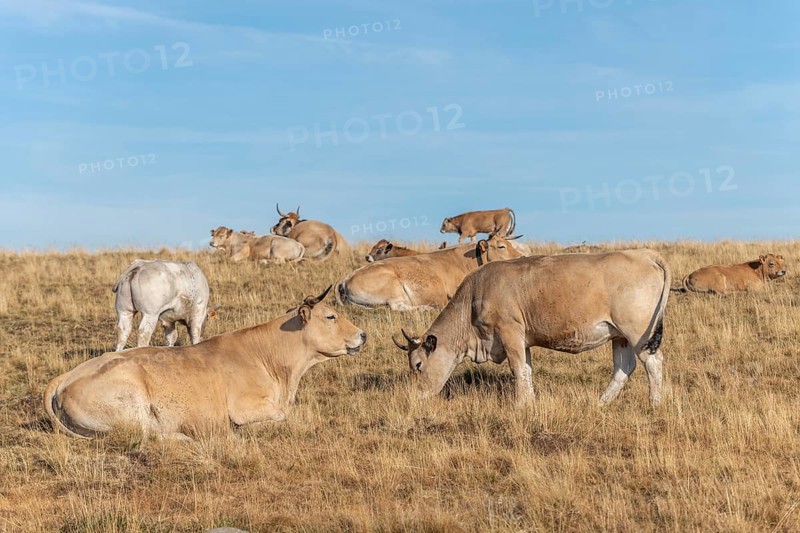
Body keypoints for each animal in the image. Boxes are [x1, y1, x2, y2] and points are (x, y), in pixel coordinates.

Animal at [44, 286, 366, 439]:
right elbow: (281, 416)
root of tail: (66, 377)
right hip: (132, 404)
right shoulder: (245, 407)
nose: (362, 334)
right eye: (331, 316)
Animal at [336, 233, 524, 311]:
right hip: (392, 287)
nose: (522, 256)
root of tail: (345, 279)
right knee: (397, 307)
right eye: (501, 246)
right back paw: (427, 308)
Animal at [394, 250, 671, 407]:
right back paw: (600, 403)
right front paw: (530, 402)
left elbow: (517, 369)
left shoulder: (509, 332)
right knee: (623, 369)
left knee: (652, 363)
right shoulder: (522, 341)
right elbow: (526, 369)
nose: (413, 397)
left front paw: (519, 405)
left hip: (638, 332)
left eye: (418, 365)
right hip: (620, 337)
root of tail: (644, 253)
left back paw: (654, 404)